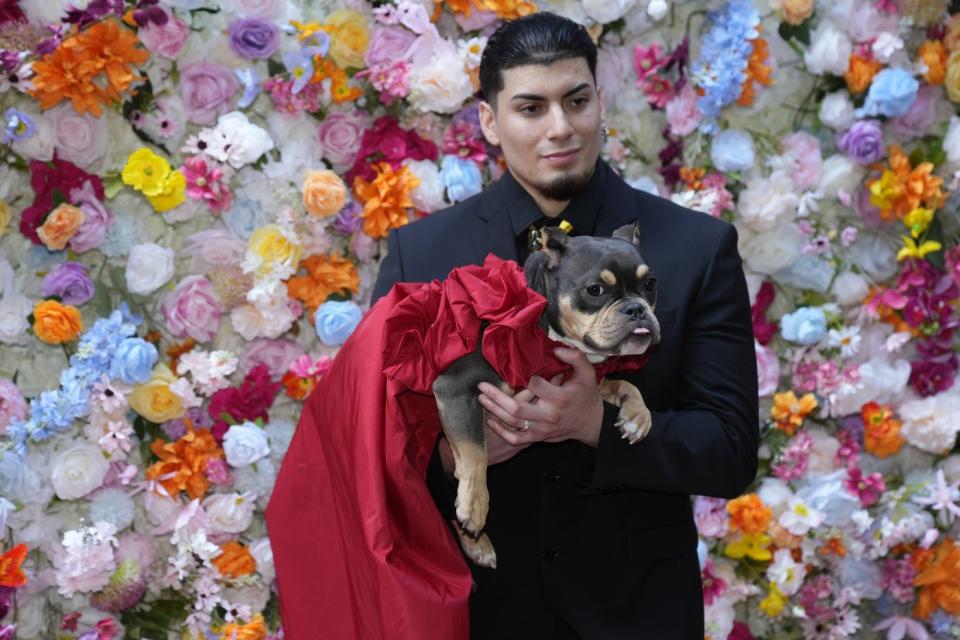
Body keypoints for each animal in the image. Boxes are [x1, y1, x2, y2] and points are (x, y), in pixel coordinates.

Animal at [434, 222, 660, 568]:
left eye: (650, 284)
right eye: (595, 290)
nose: (636, 308)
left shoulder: (588, 381)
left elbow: (625, 384)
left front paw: (637, 415)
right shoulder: (454, 388)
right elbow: (474, 451)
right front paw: (474, 505)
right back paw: (476, 539)